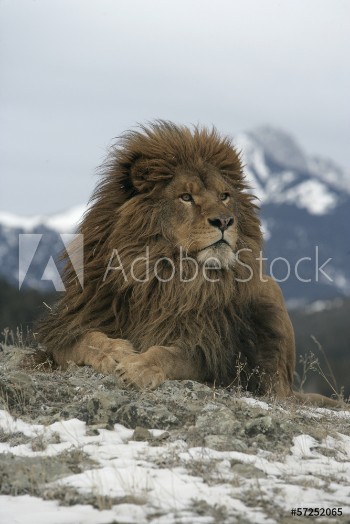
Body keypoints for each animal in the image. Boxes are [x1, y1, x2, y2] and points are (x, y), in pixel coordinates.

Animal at [36, 119, 340, 406]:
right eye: (186, 197)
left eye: (224, 196)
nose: (225, 221)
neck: (162, 274)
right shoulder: (67, 329)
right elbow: (86, 340)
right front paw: (115, 353)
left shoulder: (211, 351)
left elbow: (168, 354)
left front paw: (138, 366)